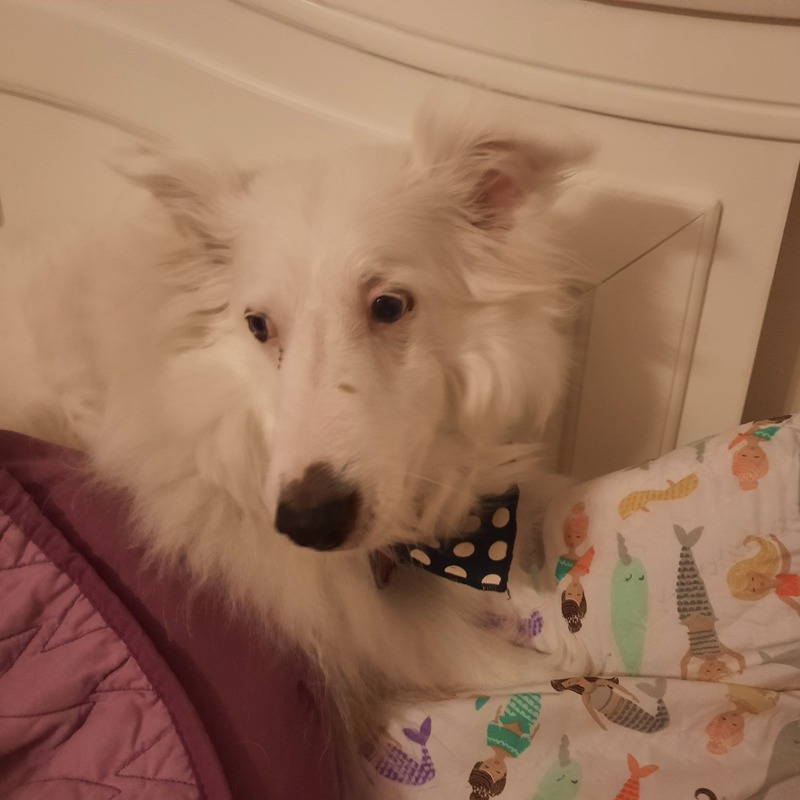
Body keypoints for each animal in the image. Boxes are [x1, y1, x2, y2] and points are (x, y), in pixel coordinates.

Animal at [0, 109, 588, 792]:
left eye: (389, 304)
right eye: (257, 325)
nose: (309, 522)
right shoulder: (351, 621)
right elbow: (497, 658)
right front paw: (578, 658)